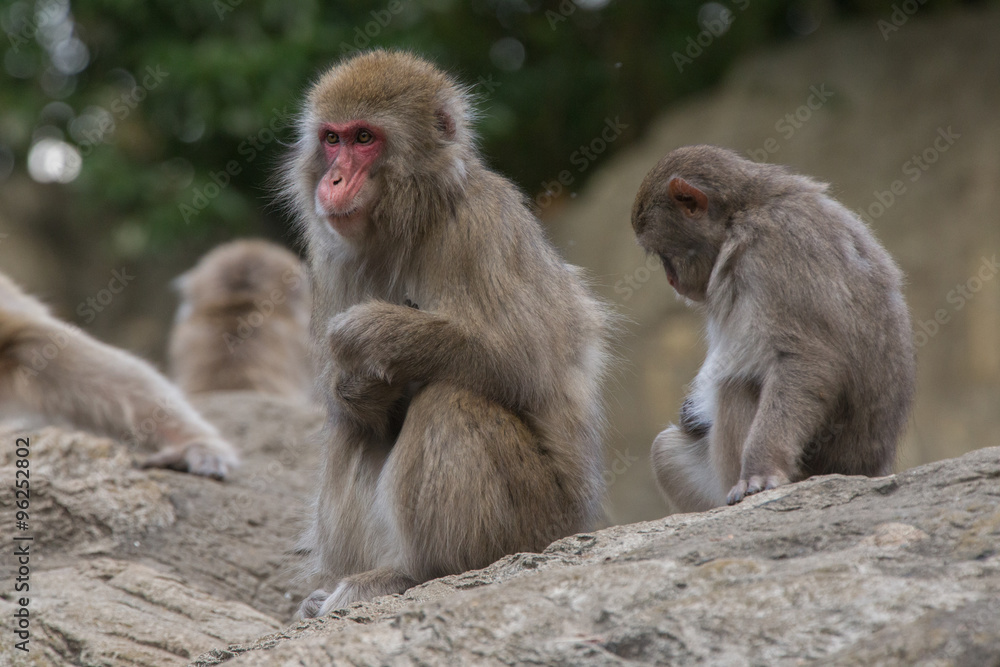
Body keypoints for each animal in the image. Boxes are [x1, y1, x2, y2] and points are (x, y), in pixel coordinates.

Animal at [282, 49, 608, 620]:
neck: (412, 218)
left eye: (364, 138)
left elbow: (526, 362)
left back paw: (420, 573)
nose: (334, 180)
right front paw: (360, 386)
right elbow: (351, 404)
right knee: (356, 431)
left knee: (450, 400)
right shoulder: (328, 258)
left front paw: (372, 333)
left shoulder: (484, 222)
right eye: (332, 139)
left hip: (537, 524)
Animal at [632, 145, 916, 512]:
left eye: (662, 253)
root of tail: (867, 470)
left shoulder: (770, 253)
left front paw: (761, 468)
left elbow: (806, 360)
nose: (671, 279)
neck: (745, 209)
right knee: (666, 450)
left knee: (735, 385)